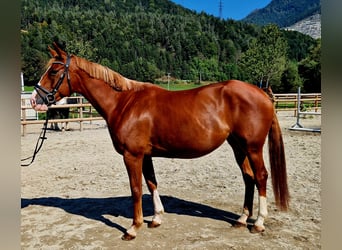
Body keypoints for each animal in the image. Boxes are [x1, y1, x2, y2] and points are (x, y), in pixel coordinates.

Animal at [31, 43, 288, 240]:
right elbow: (152, 183)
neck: (125, 103)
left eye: (53, 71)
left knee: (261, 176)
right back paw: (242, 219)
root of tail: (262, 93)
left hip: (253, 147)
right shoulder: (145, 155)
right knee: (248, 178)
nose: (35, 99)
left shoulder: (132, 156)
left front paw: (133, 228)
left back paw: (258, 222)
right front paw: (156, 218)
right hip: (238, 146)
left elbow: (136, 188)